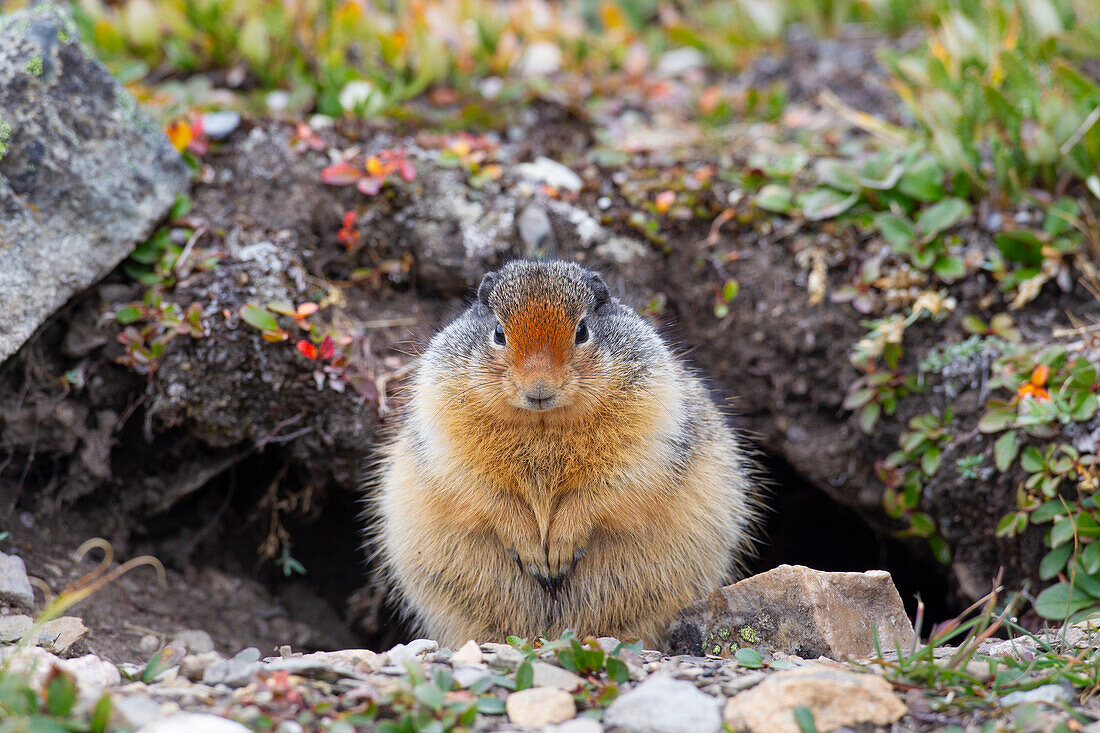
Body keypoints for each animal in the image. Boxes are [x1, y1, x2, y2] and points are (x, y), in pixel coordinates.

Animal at [369, 259, 756, 642]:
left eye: (582, 330)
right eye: (498, 333)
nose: (539, 388)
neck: (542, 424)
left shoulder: (643, 447)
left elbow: (598, 495)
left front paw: (558, 553)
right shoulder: (449, 450)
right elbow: (489, 496)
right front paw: (534, 553)